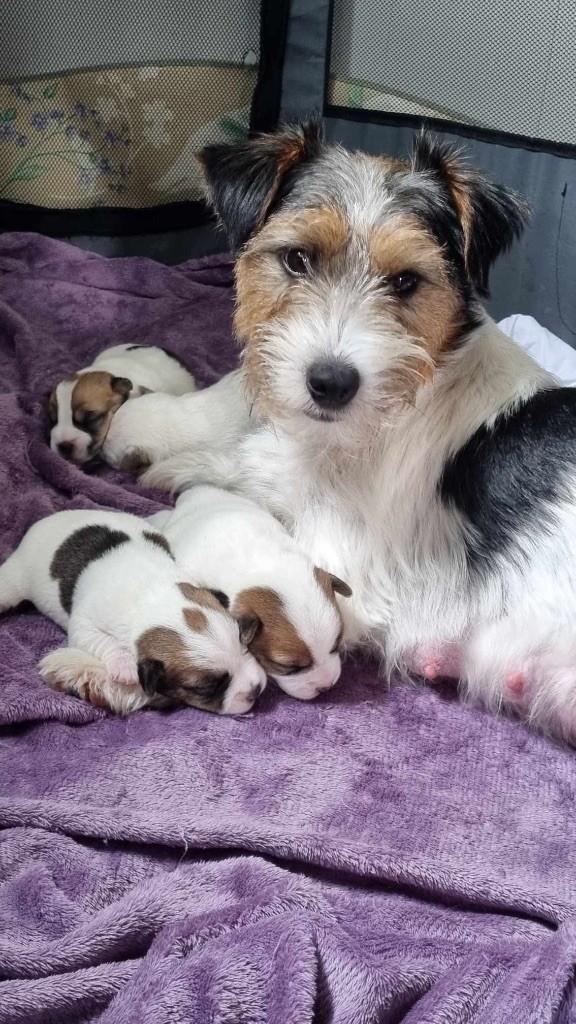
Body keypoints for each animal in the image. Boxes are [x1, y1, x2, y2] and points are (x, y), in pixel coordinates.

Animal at [0, 507, 264, 716]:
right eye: (205, 688)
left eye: (245, 646)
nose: (257, 690)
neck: (154, 594)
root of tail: (40, 522)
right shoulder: (86, 622)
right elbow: (98, 638)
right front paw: (124, 666)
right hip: (15, 578)